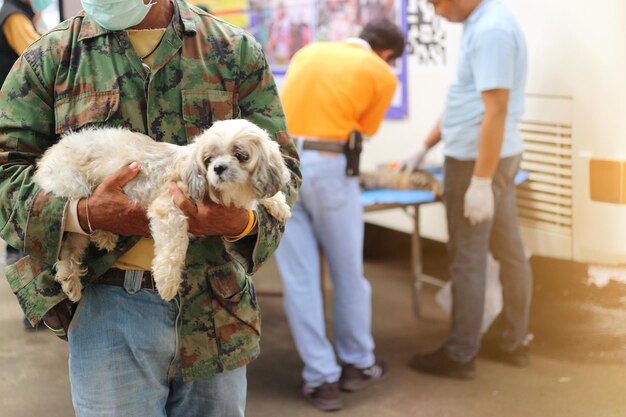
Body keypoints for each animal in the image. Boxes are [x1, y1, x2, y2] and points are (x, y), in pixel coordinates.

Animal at [36, 118, 292, 300]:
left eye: (240, 155)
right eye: (208, 159)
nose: (218, 168)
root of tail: (48, 155)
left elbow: (266, 195)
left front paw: (279, 205)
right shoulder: (168, 209)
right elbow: (174, 249)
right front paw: (167, 283)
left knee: (69, 249)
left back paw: (74, 275)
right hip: (75, 187)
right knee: (79, 223)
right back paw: (102, 237)